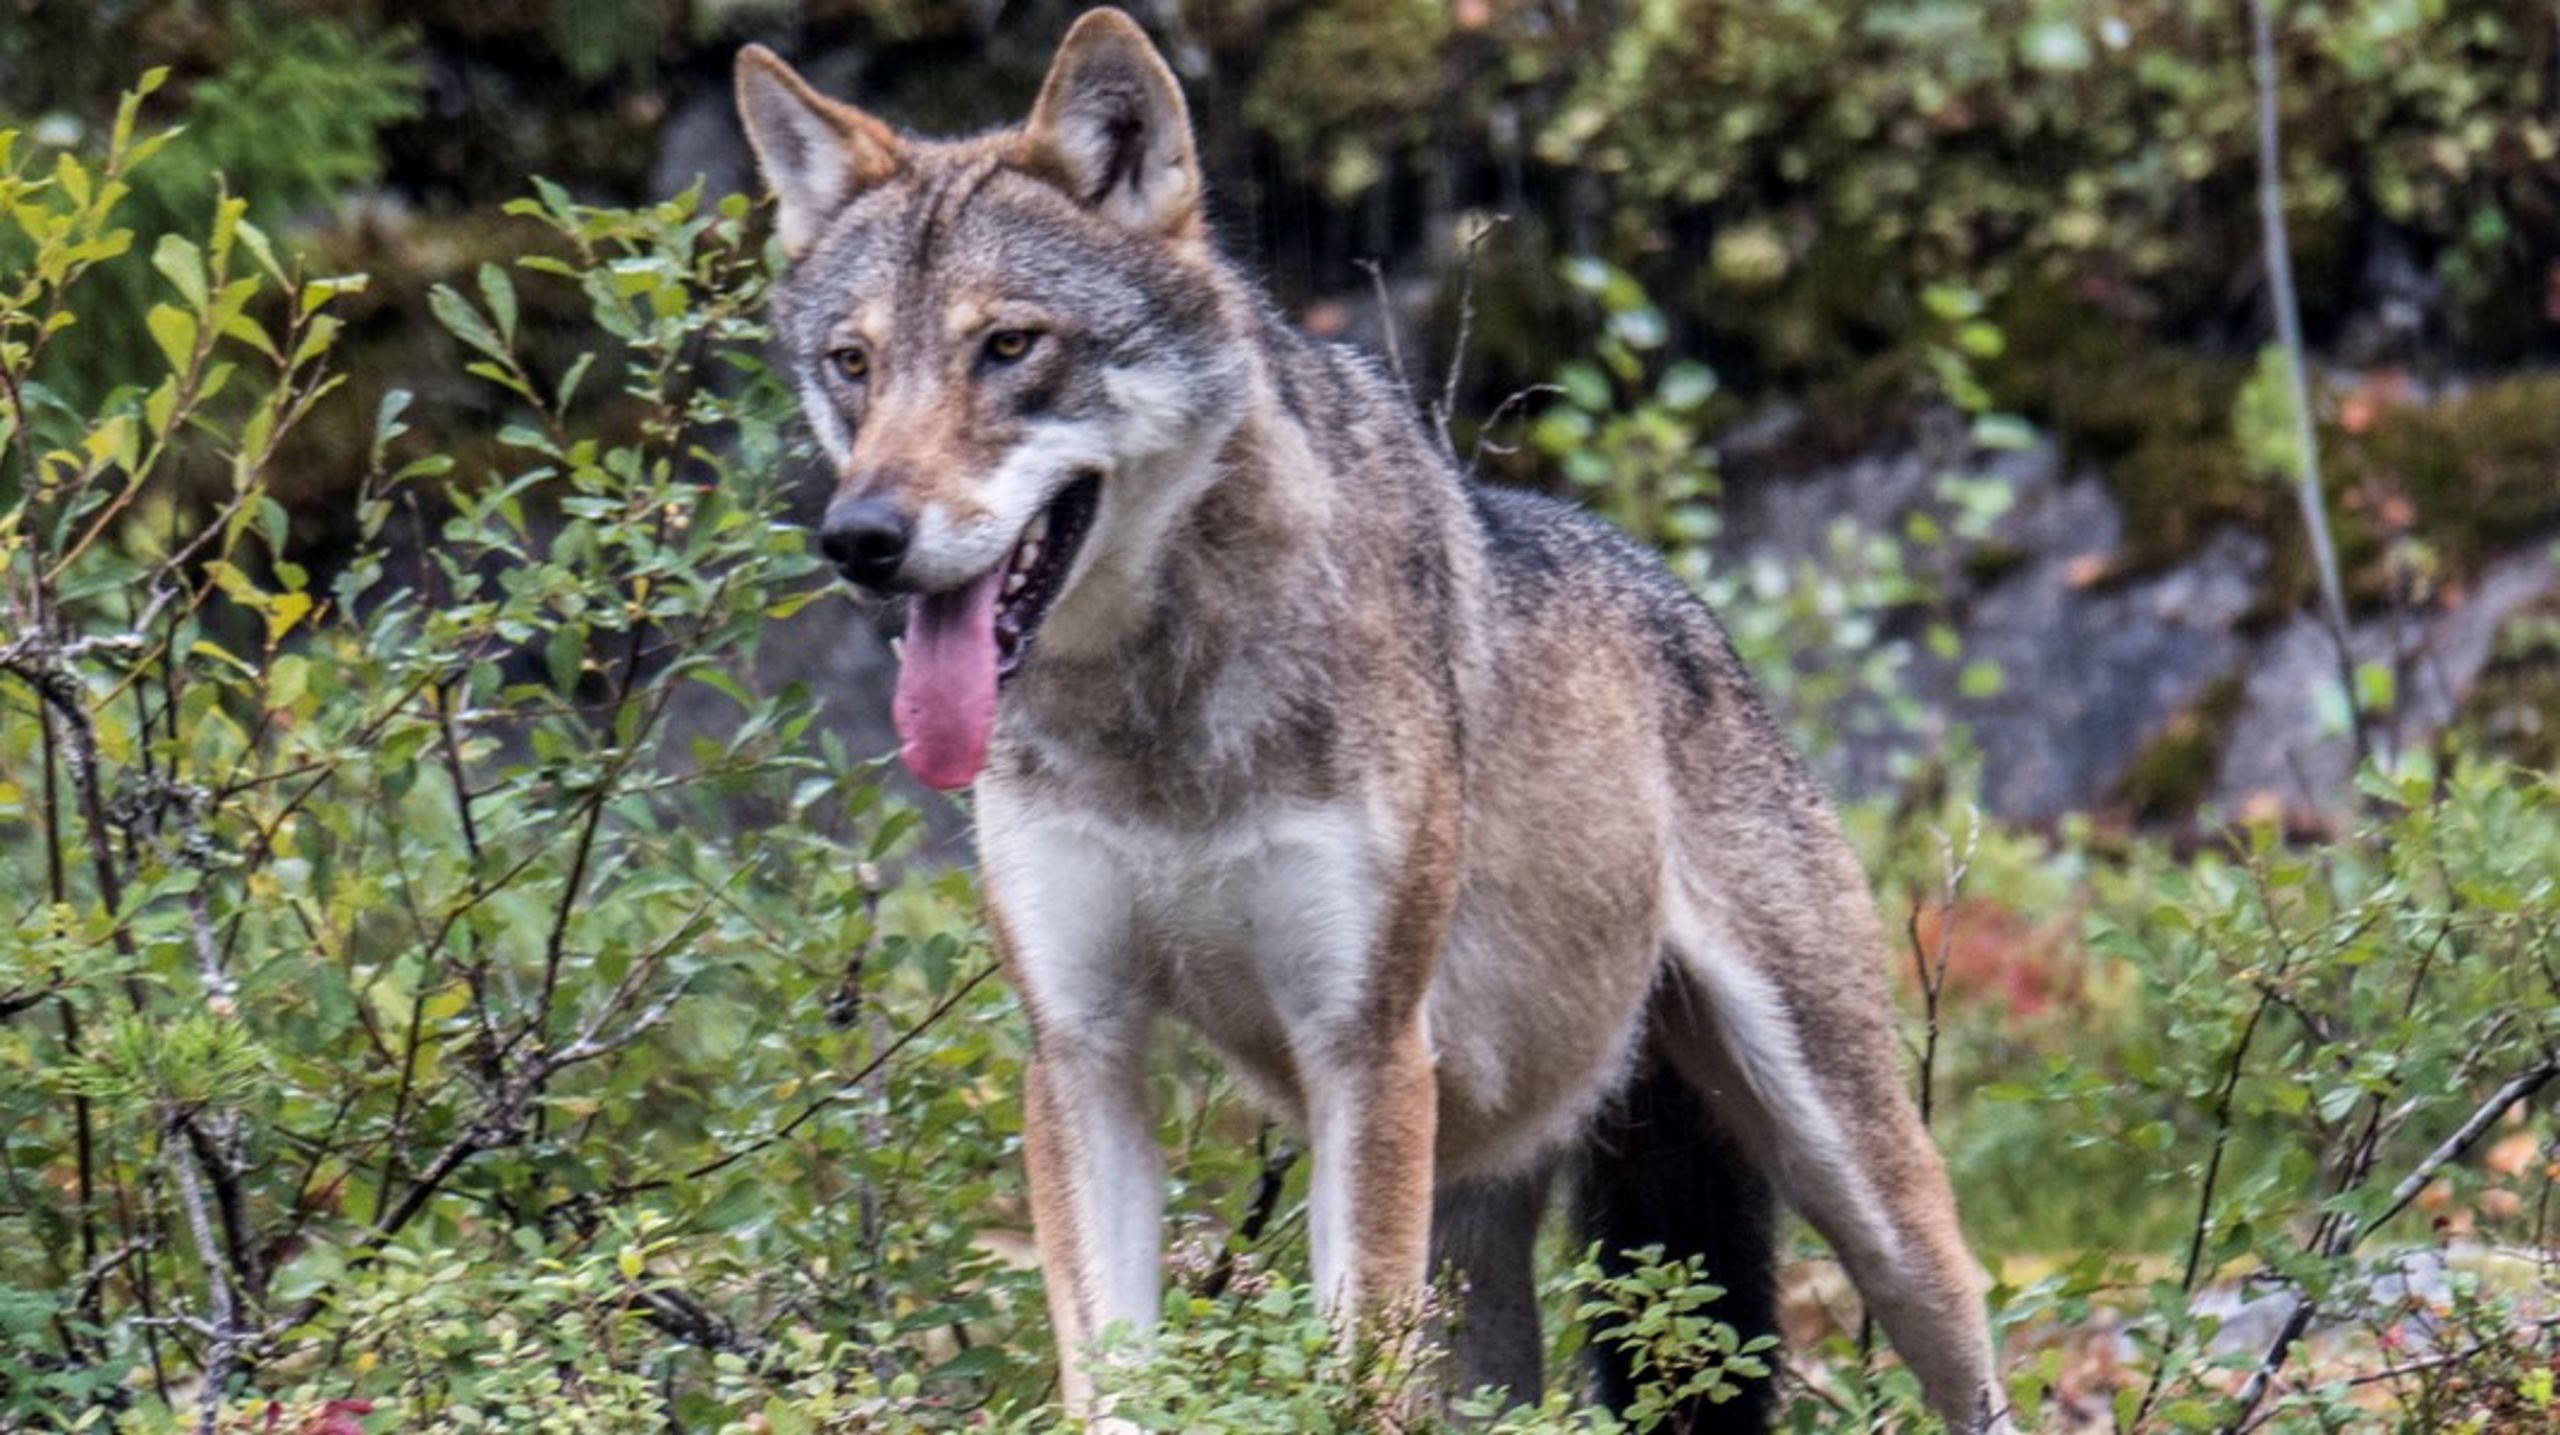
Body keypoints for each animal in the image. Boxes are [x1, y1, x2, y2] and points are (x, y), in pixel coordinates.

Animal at [732, 13, 2007, 1432]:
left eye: (1008, 347)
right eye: (852, 364)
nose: (860, 538)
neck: (1157, 719)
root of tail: (1682, 599)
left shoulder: (1364, 1054)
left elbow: (1348, 1385)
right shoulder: (1081, 1053)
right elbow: (1111, 1378)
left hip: (1858, 1182)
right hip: (1485, 1251)